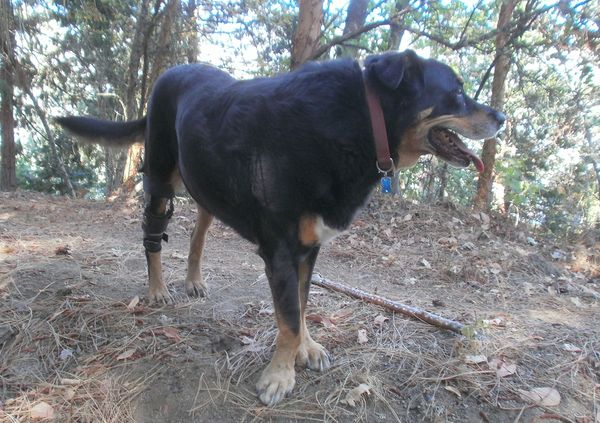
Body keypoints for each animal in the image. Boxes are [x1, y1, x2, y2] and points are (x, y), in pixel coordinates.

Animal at [57, 49, 506, 408]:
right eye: (457, 92)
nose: (502, 116)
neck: (358, 122)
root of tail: (170, 74)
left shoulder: (310, 246)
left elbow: (303, 305)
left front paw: (305, 350)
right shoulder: (281, 251)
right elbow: (288, 317)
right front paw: (280, 374)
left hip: (206, 184)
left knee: (199, 231)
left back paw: (194, 279)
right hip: (159, 181)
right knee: (152, 237)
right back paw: (157, 288)